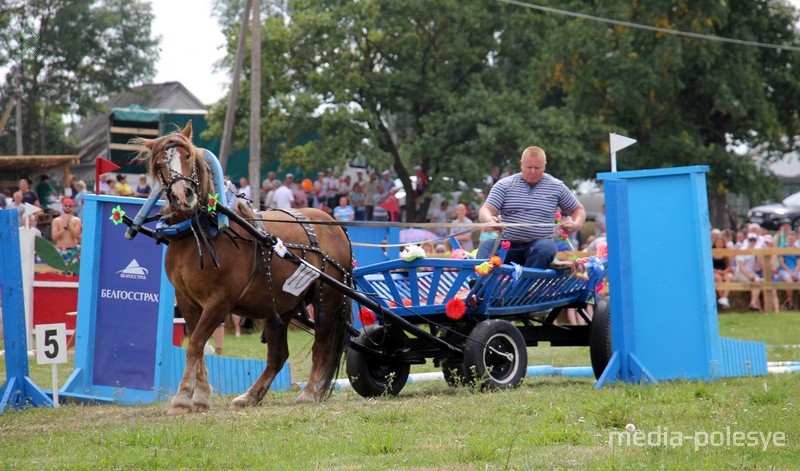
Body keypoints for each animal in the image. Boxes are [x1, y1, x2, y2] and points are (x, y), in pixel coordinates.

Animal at [133, 122, 352, 416]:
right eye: (160, 165)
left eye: (188, 155)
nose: (183, 195)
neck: (198, 231)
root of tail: (335, 224)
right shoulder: (187, 299)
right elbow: (198, 345)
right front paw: (200, 396)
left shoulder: (220, 301)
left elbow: (195, 344)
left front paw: (182, 399)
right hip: (280, 305)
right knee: (278, 355)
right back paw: (251, 395)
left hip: (326, 298)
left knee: (322, 345)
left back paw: (308, 393)